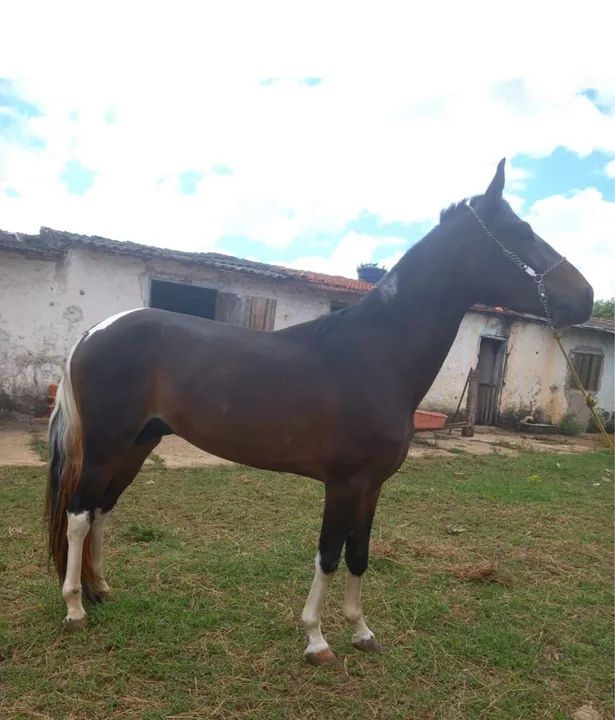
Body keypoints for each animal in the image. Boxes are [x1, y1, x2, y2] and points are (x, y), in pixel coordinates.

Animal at [45, 159, 593, 665]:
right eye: (522, 231)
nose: (586, 297)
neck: (375, 356)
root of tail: (97, 330)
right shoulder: (343, 484)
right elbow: (329, 554)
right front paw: (317, 640)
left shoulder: (372, 486)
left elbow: (359, 555)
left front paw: (362, 631)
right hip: (106, 446)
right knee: (78, 513)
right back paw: (74, 608)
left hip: (137, 445)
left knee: (101, 509)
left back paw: (100, 589)